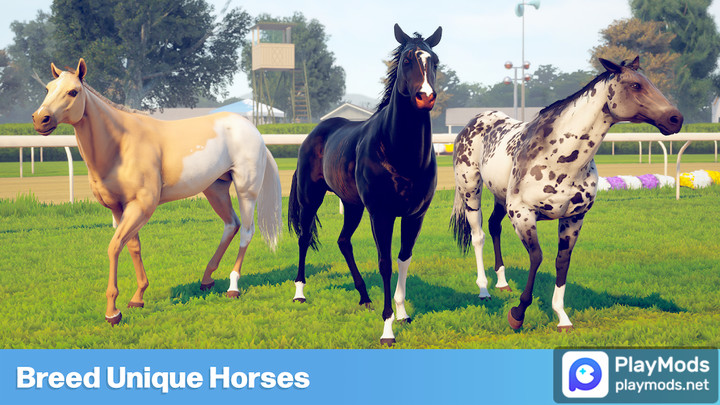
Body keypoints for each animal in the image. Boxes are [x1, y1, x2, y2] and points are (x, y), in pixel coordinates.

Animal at [32, 59, 282, 325]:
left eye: (73, 91)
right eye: (48, 88)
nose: (40, 119)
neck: (121, 145)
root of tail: (254, 131)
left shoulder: (142, 206)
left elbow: (114, 246)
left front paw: (113, 312)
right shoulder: (120, 208)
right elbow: (132, 246)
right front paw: (137, 298)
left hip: (247, 190)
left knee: (246, 231)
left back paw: (233, 287)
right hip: (215, 190)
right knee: (231, 224)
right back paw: (206, 279)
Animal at [288, 24, 442, 345]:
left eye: (434, 61)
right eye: (407, 59)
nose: (426, 97)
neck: (397, 151)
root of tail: (314, 133)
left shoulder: (414, 216)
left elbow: (403, 259)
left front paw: (402, 314)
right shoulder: (380, 215)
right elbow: (385, 262)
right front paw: (387, 329)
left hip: (352, 205)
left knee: (343, 241)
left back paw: (364, 297)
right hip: (311, 198)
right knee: (304, 238)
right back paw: (300, 293)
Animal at [451, 57, 682, 331]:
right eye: (636, 85)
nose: (676, 118)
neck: (559, 158)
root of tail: (475, 121)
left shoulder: (574, 218)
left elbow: (562, 261)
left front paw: (562, 317)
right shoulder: (522, 214)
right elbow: (537, 257)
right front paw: (517, 314)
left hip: (499, 196)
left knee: (494, 225)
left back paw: (502, 282)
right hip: (471, 192)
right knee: (478, 235)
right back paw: (484, 289)